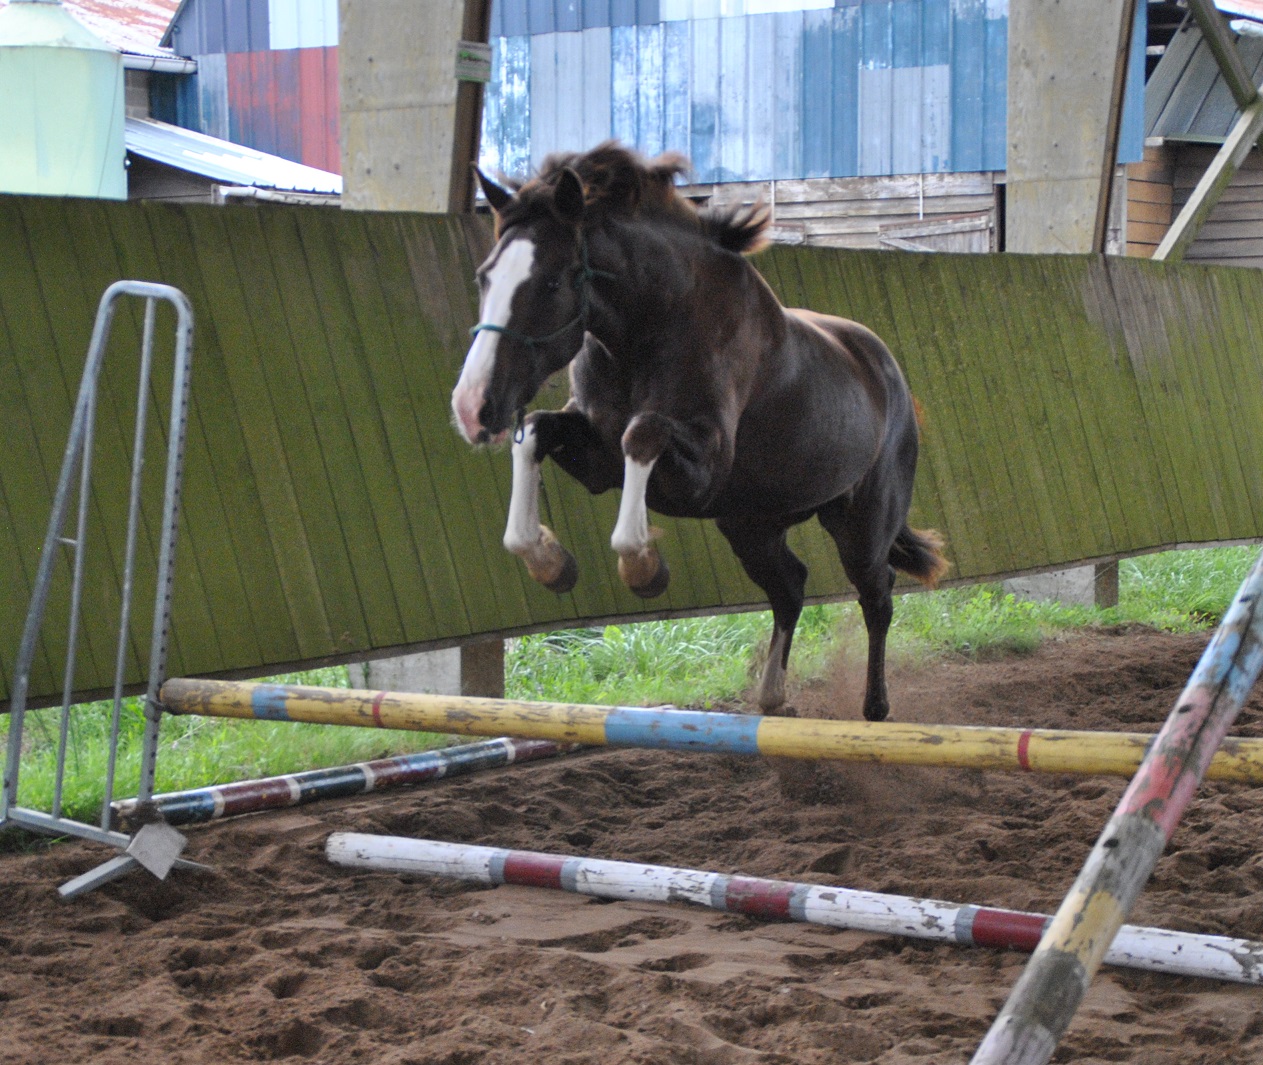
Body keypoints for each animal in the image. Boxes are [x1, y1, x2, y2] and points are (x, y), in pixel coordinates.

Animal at [451, 142, 947, 722]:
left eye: (551, 281)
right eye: (485, 276)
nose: (472, 407)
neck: (653, 326)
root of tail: (890, 373)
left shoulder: (701, 471)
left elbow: (641, 435)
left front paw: (643, 566)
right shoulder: (597, 459)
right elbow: (535, 431)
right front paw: (551, 563)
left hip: (860, 524)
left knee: (877, 594)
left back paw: (874, 708)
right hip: (751, 525)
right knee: (790, 586)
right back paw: (771, 697)